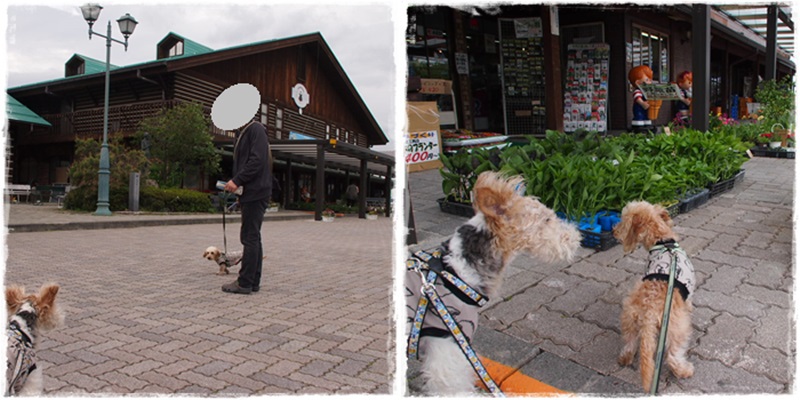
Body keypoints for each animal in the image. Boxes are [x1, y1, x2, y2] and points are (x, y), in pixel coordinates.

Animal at [612, 200, 692, 390]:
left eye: (623, 221)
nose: (613, 231)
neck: (663, 241)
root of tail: (649, 313)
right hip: (678, 330)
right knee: (673, 357)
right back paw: (685, 371)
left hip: (629, 319)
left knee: (630, 343)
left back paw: (625, 358)